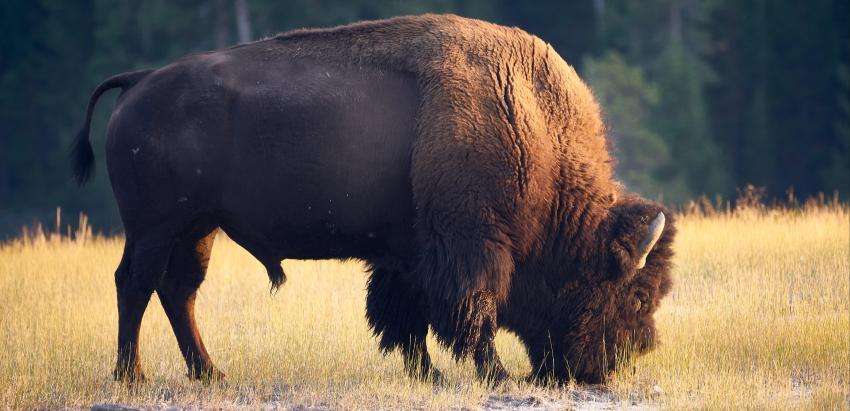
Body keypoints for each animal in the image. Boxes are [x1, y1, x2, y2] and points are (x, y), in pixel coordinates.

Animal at [69, 12, 672, 386]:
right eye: (638, 296)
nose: (624, 360)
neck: (526, 117)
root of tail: (140, 80)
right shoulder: (471, 247)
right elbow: (472, 313)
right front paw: (494, 375)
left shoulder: (407, 255)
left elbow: (404, 318)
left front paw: (428, 375)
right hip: (154, 227)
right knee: (136, 284)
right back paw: (133, 376)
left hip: (198, 228)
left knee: (179, 291)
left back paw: (210, 373)